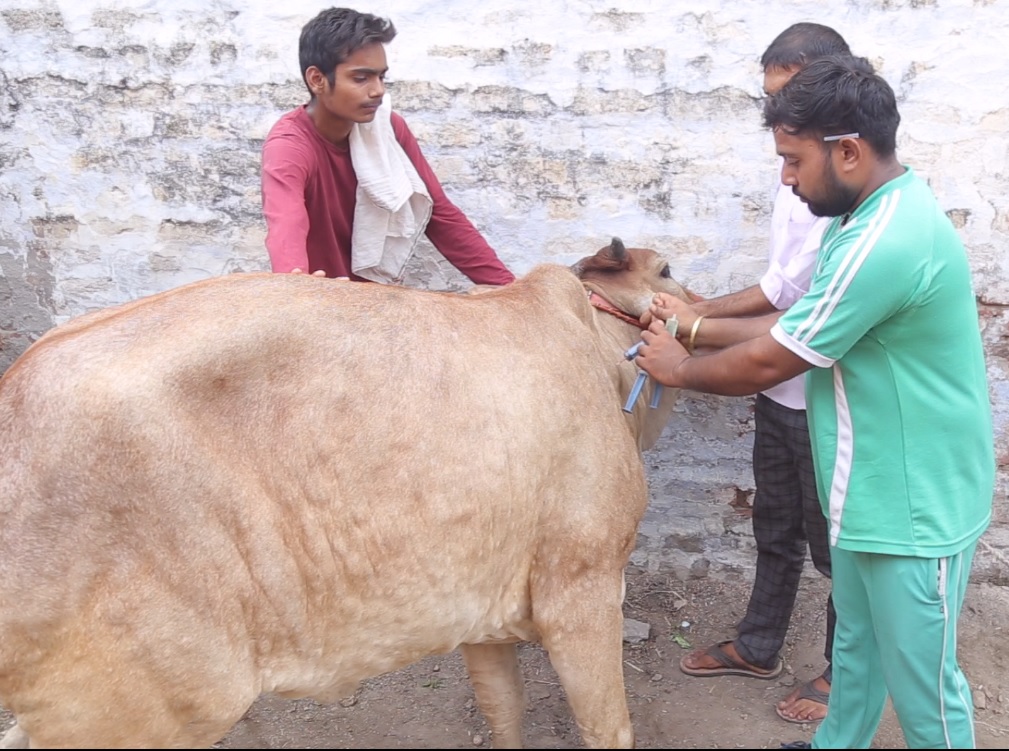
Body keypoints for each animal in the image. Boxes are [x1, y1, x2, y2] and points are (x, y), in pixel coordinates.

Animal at [0, 239, 694, 746]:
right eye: (667, 268)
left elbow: (504, 711)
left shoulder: (481, 603)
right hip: (133, 709)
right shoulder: (582, 584)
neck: (598, 350)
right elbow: (608, 727)